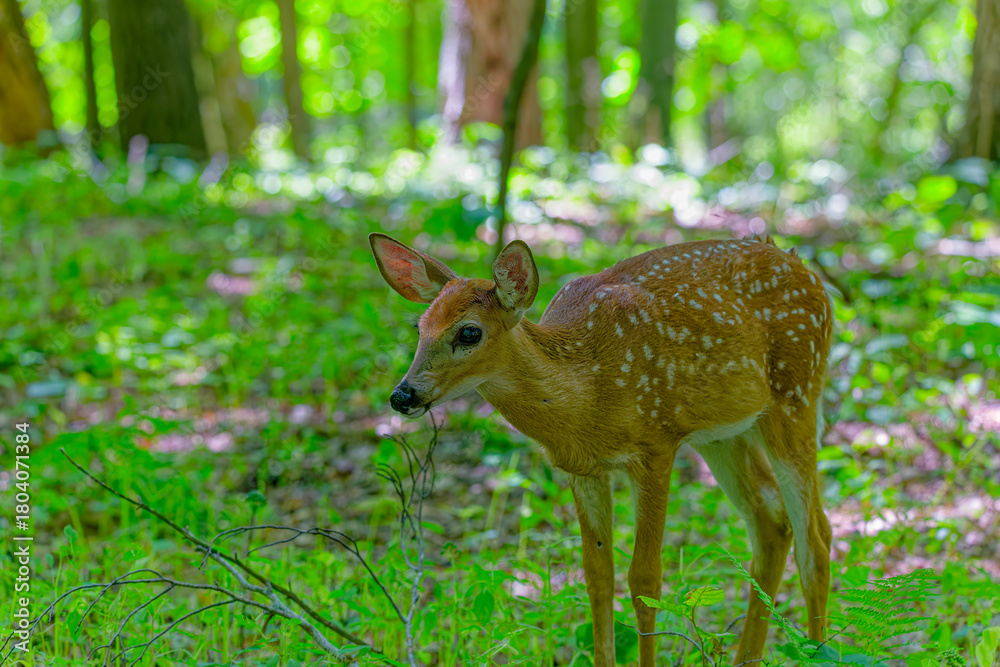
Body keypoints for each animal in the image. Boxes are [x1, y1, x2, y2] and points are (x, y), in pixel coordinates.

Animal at [369, 232, 833, 666]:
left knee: (817, 539)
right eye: (419, 328)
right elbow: (597, 576)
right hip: (724, 433)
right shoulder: (583, 469)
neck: (587, 392)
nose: (403, 395)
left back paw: (822, 649)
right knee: (773, 520)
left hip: (797, 394)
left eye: (469, 331)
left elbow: (645, 580)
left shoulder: (657, 444)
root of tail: (805, 268)